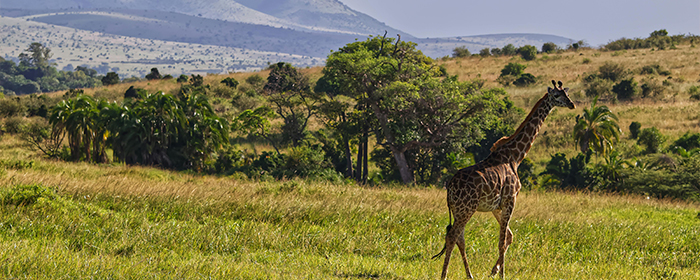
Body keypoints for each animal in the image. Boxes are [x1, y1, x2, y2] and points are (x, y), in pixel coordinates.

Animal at [432, 80, 576, 278]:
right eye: (556, 96)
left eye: (567, 94)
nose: (572, 104)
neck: (515, 157)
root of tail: (450, 188)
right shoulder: (510, 199)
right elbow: (502, 241)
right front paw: (501, 274)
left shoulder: (496, 206)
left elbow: (509, 236)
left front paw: (495, 270)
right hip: (466, 209)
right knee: (453, 235)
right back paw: (444, 275)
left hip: (458, 210)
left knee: (458, 237)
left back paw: (469, 275)